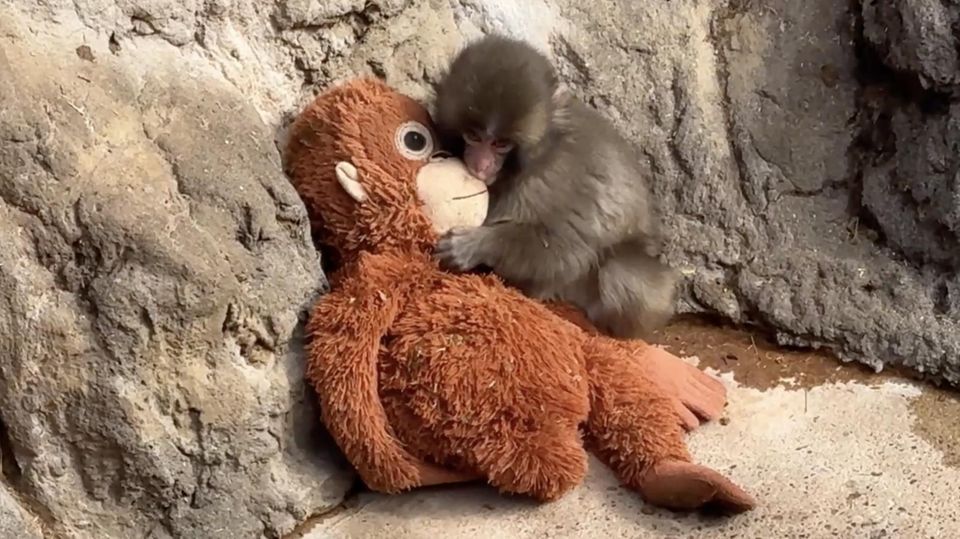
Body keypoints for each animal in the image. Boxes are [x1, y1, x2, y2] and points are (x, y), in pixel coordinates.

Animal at [432, 33, 679, 339]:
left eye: (501, 144)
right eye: (474, 136)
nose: (481, 165)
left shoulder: (551, 179)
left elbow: (566, 248)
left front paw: (476, 245)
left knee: (619, 273)